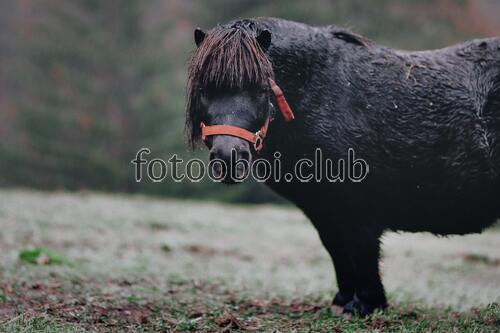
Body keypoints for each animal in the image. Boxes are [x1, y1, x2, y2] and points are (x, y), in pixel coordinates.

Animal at [186, 17, 500, 314]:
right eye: (203, 89)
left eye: (261, 89)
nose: (229, 158)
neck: (322, 94)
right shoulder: (324, 209)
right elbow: (338, 252)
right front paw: (343, 302)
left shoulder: (360, 209)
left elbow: (362, 253)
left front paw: (366, 305)